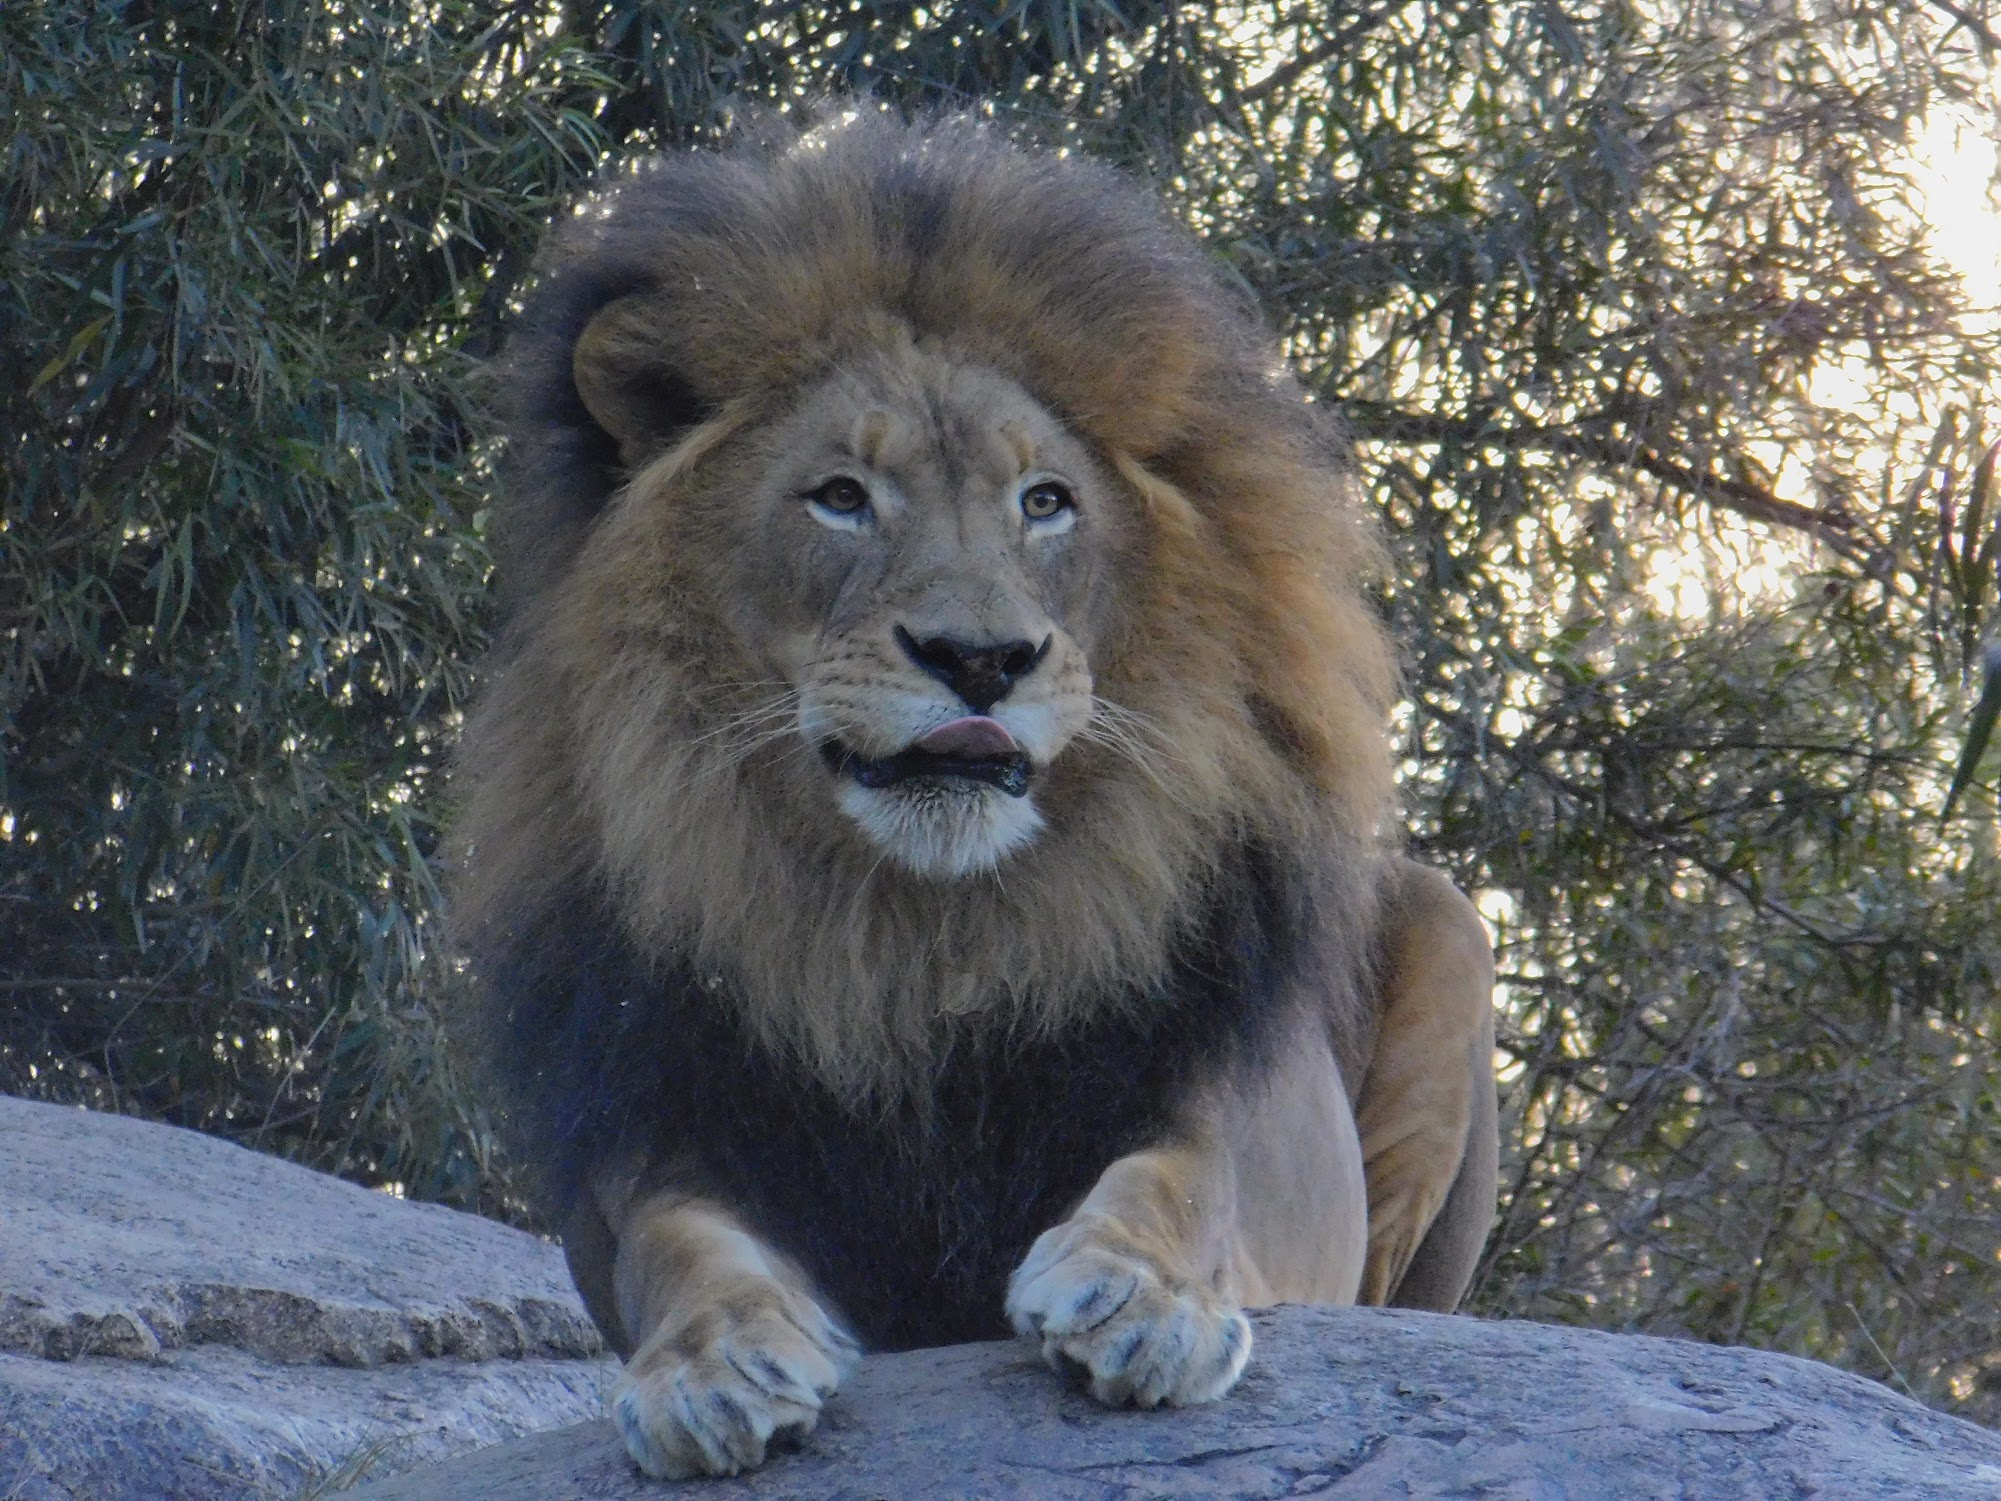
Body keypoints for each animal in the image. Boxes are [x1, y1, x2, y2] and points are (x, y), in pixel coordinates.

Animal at [451, 109, 1498, 1481]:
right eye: (842, 496)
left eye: (1044, 501)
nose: (983, 659)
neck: (926, 938)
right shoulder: (655, 1108)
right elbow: (677, 1242)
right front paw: (714, 1367)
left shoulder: (1218, 1086)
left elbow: (1184, 1178)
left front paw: (1138, 1299)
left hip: (1449, 927)